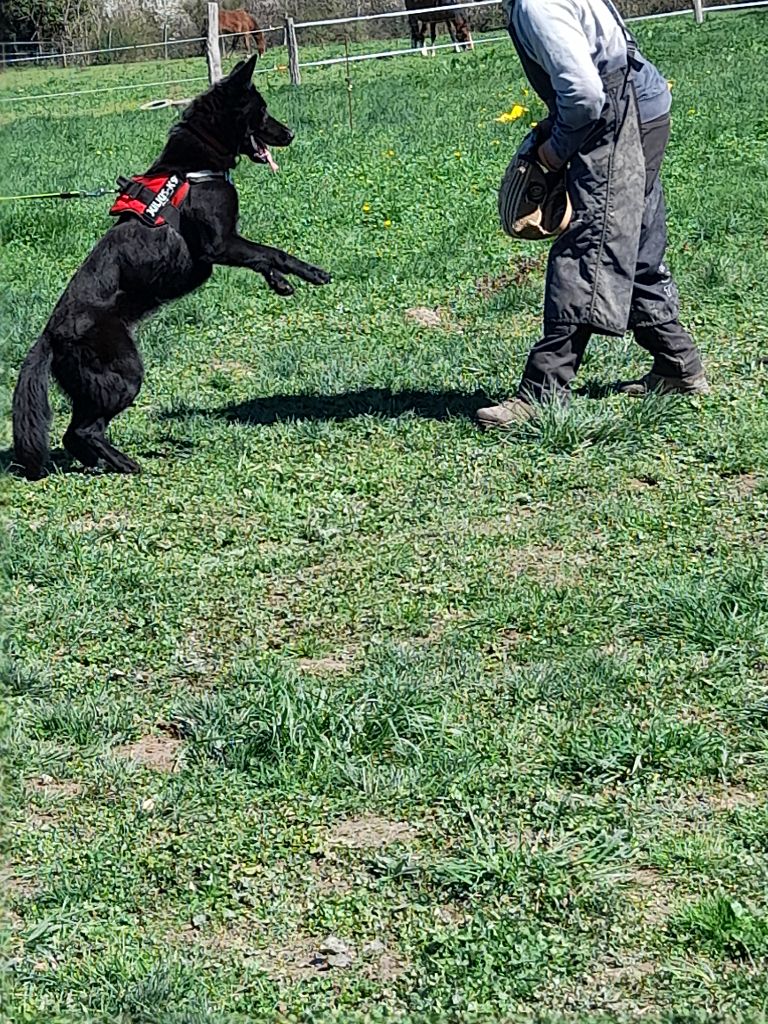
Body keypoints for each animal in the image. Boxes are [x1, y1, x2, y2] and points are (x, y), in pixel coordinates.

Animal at [12, 58, 331, 481]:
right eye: (261, 111)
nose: (291, 134)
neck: (195, 166)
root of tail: (50, 333)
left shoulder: (227, 246)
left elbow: (261, 258)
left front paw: (280, 283)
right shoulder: (220, 244)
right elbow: (273, 252)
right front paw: (311, 272)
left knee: (75, 434)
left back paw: (105, 463)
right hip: (124, 374)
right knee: (82, 430)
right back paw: (126, 463)